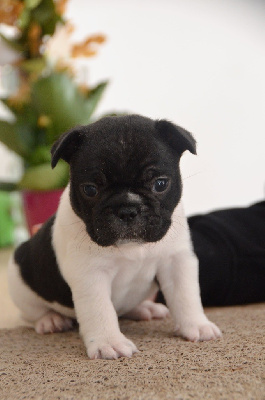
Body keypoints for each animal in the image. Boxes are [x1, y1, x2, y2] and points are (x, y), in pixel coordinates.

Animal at [8, 113, 221, 360]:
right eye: (90, 189)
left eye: (160, 184)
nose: (127, 209)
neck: (132, 247)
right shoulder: (91, 275)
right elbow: (100, 310)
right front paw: (109, 343)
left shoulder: (176, 262)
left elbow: (185, 295)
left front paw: (196, 325)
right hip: (20, 282)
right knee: (31, 314)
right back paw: (50, 320)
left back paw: (144, 308)